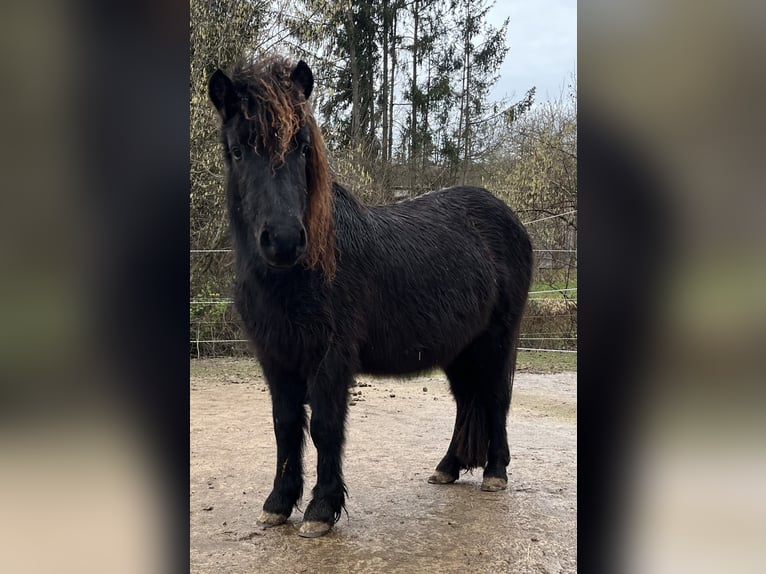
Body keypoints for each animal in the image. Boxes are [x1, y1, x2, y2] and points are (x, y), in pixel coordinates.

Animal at [208, 56, 536, 536]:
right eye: (236, 150)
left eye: (302, 147)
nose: (284, 241)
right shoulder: (275, 357)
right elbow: (285, 426)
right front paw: (278, 504)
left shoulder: (330, 357)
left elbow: (326, 427)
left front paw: (320, 510)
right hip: (459, 349)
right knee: (466, 401)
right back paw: (448, 467)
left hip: (495, 342)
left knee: (494, 397)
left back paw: (495, 473)